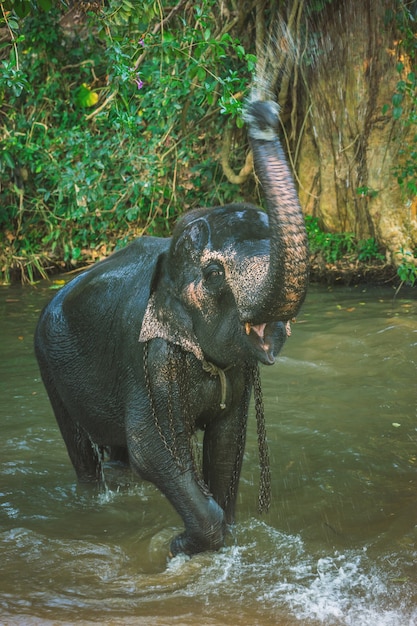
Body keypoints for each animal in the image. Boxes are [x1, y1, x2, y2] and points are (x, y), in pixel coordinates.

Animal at [34, 98, 308, 556]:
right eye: (213, 274)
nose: (264, 111)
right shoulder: (151, 357)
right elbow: (152, 449)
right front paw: (177, 546)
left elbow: (227, 444)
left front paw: (220, 537)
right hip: (47, 364)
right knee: (85, 455)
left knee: (117, 452)